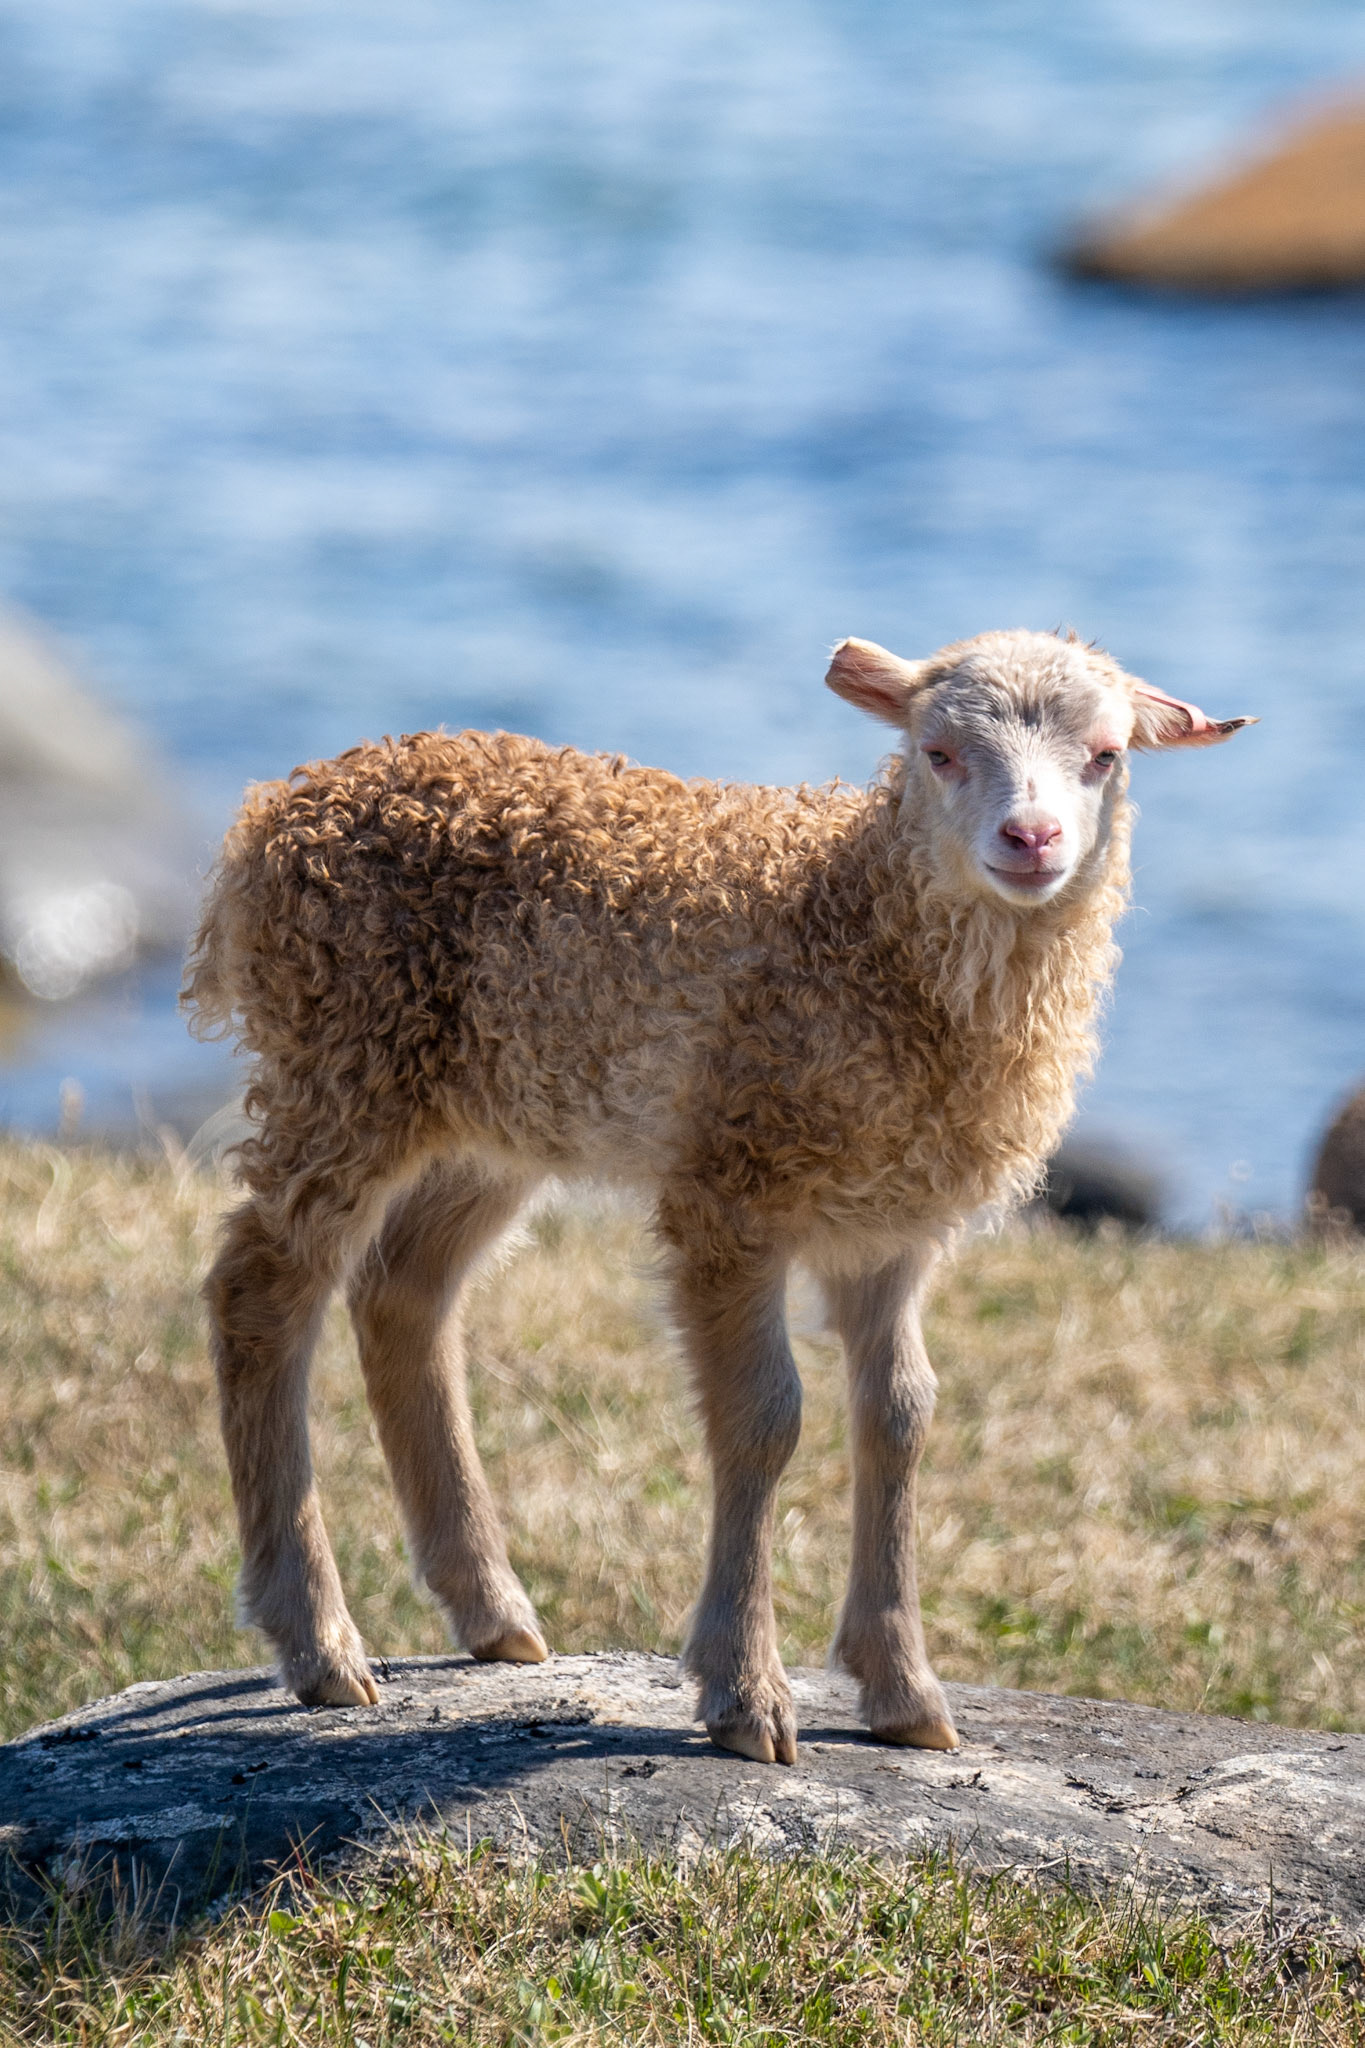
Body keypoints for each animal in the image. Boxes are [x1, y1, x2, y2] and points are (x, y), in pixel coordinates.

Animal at [184, 628, 1253, 1764]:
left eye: (1105, 755)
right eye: (938, 752)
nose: (1031, 836)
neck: (856, 923)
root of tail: (281, 806)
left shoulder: (893, 1224)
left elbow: (901, 1415)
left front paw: (904, 1688)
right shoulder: (730, 1188)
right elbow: (764, 1416)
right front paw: (745, 1691)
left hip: (492, 1110)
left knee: (404, 1295)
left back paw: (491, 1610)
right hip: (344, 1058)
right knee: (262, 1288)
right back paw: (318, 1642)